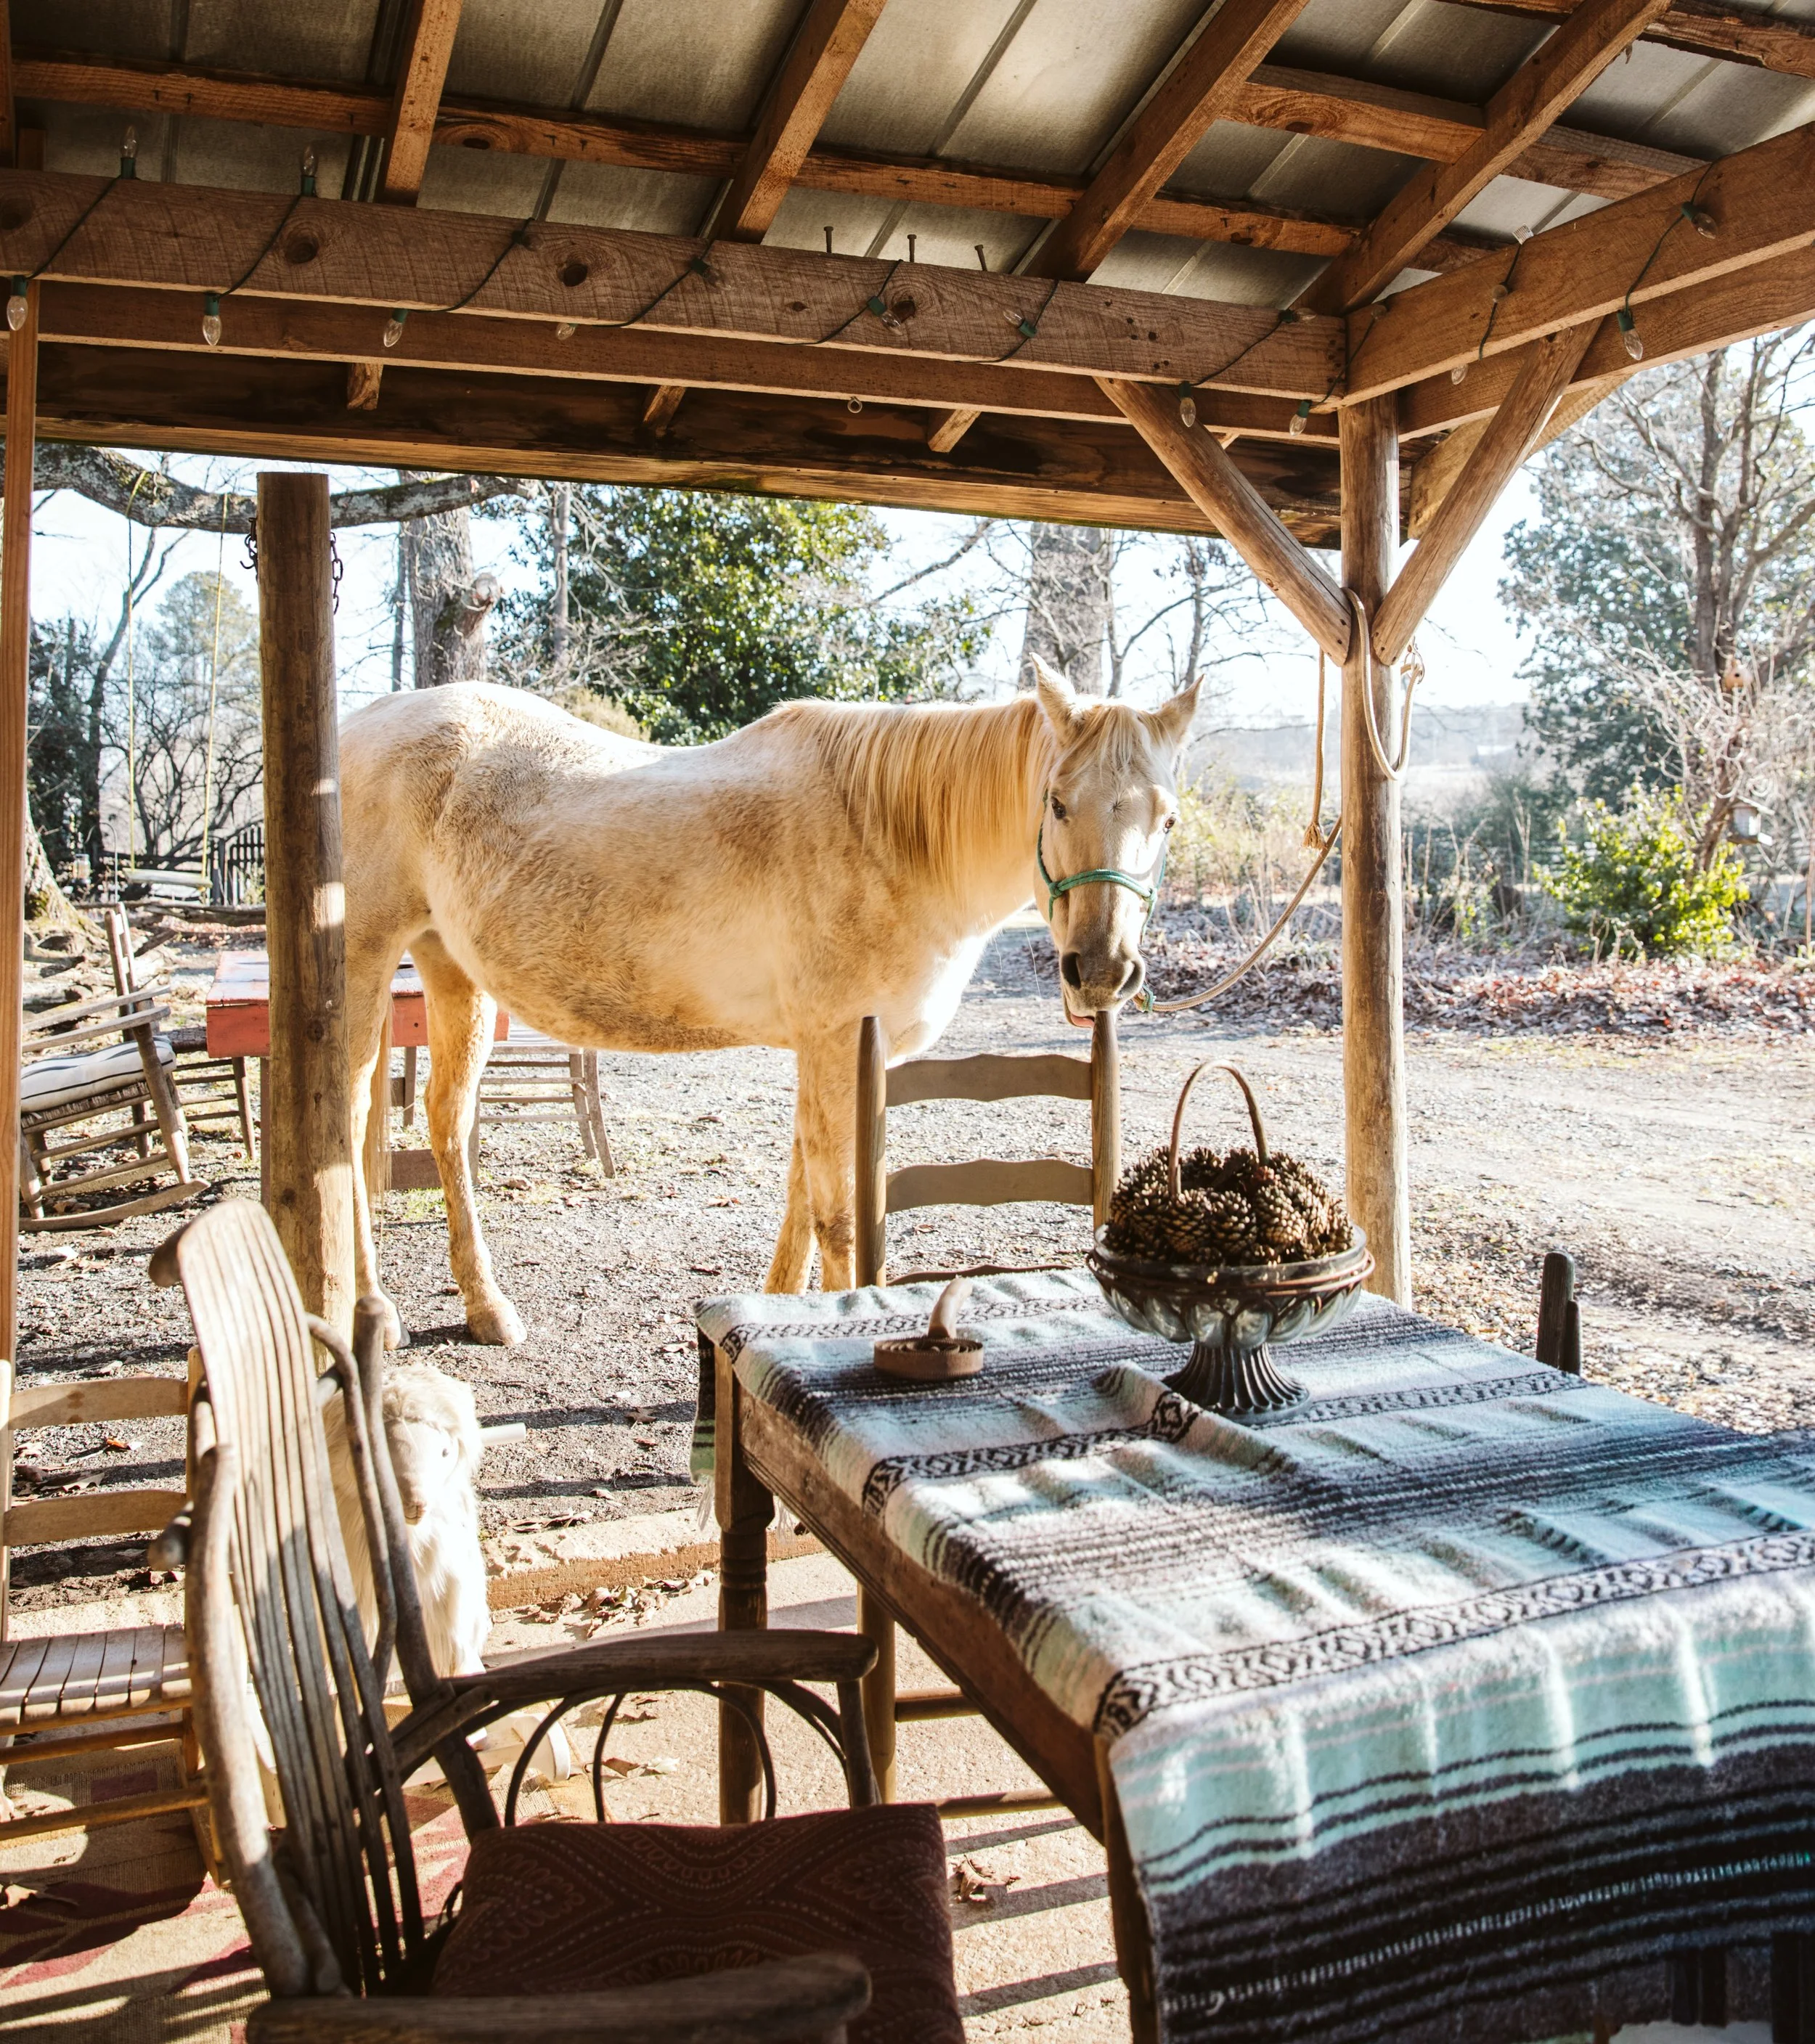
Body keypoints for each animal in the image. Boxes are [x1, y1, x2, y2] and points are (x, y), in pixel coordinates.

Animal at [340, 661, 1199, 1346]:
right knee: (345, 1124)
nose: (1100, 970)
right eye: (1056, 803)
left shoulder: (831, 1054)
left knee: (447, 1119)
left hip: (451, 969)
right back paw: (371, 1311)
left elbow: (800, 1199)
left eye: (1167, 817)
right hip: (364, 959)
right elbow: (839, 1217)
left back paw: (486, 1308)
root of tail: (358, 727)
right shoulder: (836, 1045)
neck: (893, 838)